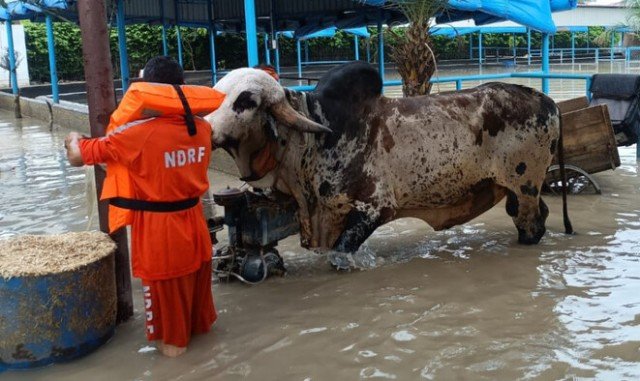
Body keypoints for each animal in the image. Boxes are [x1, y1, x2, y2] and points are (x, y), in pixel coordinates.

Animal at [208, 60, 572, 266]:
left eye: (246, 101)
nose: (206, 129)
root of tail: (546, 100)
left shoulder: (375, 207)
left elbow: (341, 256)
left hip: (525, 185)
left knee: (532, 224)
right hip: (514, 189)